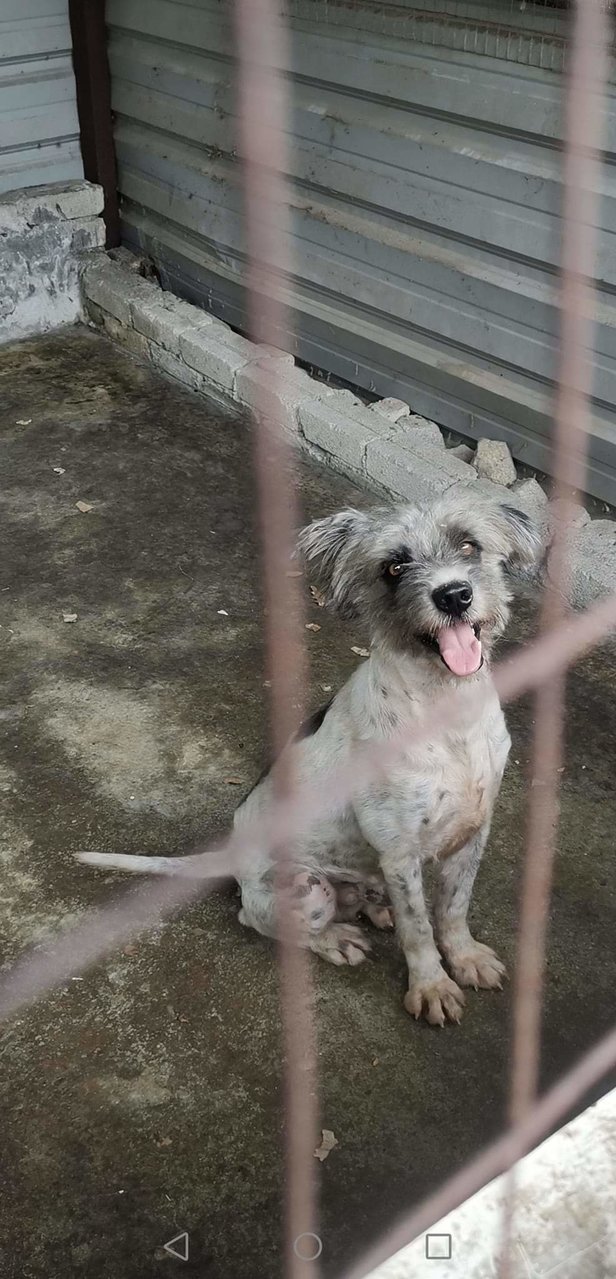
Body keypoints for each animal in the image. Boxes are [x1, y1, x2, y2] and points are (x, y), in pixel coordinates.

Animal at [80, 491, 539, 1028]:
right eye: (394, 567)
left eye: (469, 544)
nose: (453, 595)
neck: (449, 714)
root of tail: (232, 857)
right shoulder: (399, 851)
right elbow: (419, 928)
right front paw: (431, 985)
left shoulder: (473, 830)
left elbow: (452, 908)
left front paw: (464, 957)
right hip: (307, 888)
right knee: (259, 919)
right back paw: (336, 939)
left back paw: (374, 907)